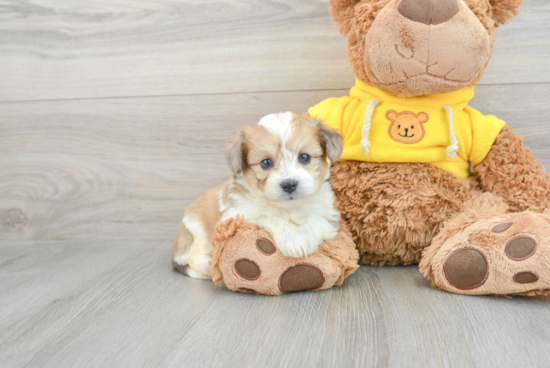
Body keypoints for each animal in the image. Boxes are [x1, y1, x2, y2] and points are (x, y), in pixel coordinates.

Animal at [172, 112, 344, 278]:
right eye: (266, 163)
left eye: (304, 157)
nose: (289, 184)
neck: (288, 207)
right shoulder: (235, 215)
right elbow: (269, 216)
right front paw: (294, 239)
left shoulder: (330, 217)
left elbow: (319, 221)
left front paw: (304, 238)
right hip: (193, 230)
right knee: (186, 259)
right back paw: (207, 266)